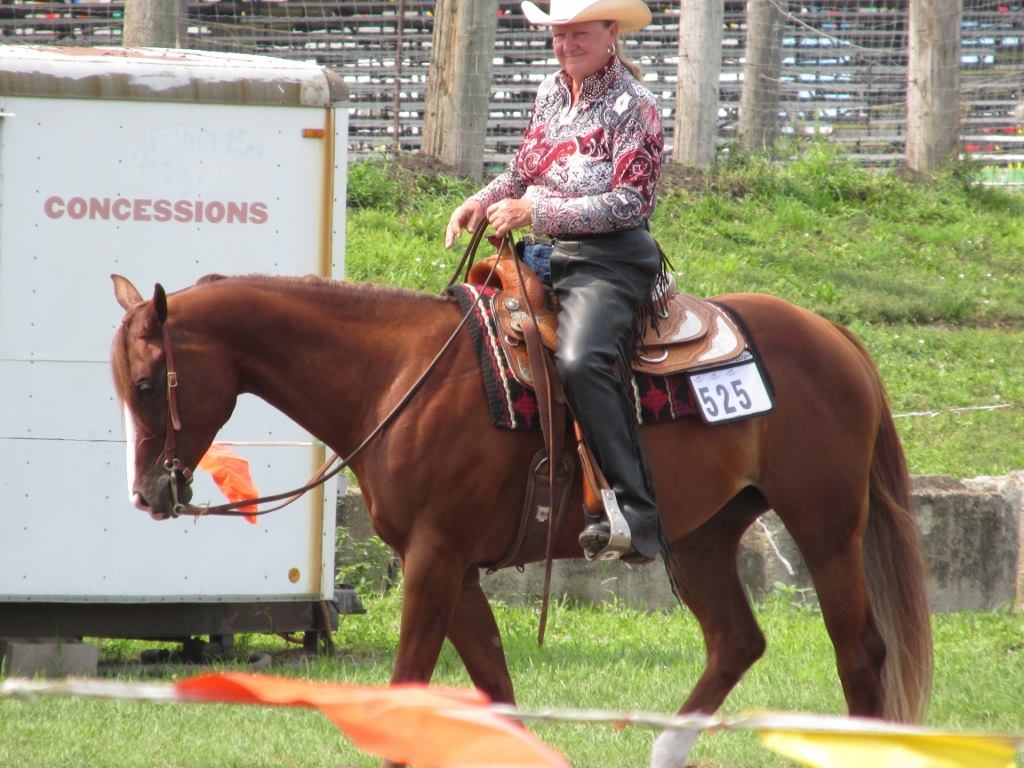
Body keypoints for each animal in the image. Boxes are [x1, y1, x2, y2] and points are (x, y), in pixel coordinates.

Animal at [111, 269, 932, 760]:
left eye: (149, 385)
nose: (148, 493)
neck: (397, 378)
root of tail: (834, 336)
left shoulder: (435, 561)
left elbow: (410, 687)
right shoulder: (452, 567)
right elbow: (496, 693)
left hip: (827, 530)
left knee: (860, 653)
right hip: (701, 539)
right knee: (736, 641)